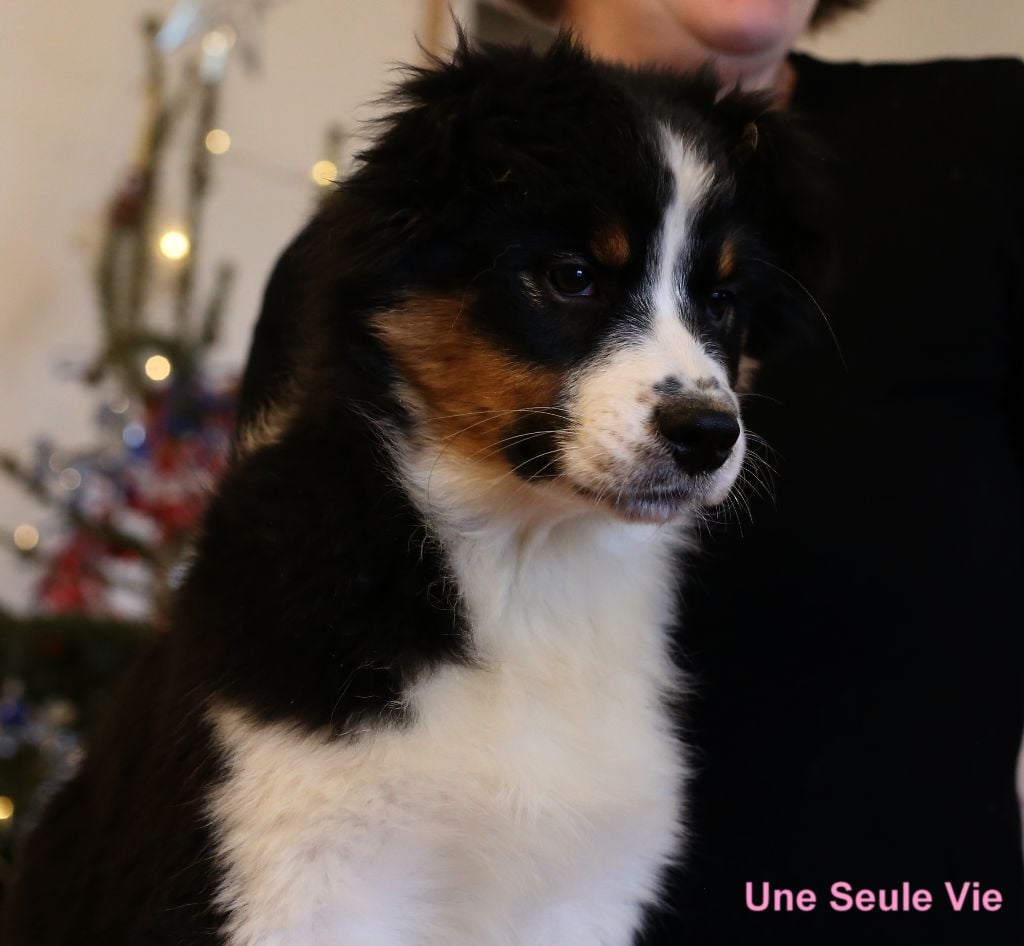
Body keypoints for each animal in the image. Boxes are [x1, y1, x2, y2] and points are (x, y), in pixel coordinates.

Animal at [4, 35, 811, 946]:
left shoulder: (581, 896)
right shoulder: (292, 870)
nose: (708, 434)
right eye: (571, 276)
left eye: (722, 299)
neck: (529, 576)